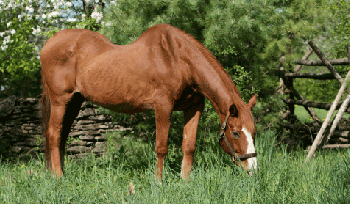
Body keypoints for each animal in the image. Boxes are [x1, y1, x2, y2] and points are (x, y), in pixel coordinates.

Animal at [40, 23, 258, 178]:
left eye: (254, 132)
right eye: (236, 133)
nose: (253, 170)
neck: (177, 59)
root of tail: (48, 44)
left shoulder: (194, 107)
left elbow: (189, 146)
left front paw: (185, 180)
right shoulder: (163, 106)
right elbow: (161, 147)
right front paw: (159, 182)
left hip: (75, 102)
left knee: (62, 136)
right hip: (60, 101)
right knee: (53, 134)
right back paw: (58, 177)